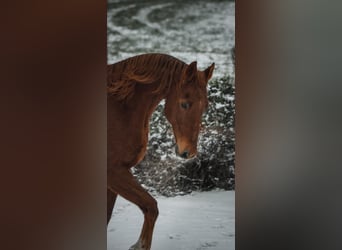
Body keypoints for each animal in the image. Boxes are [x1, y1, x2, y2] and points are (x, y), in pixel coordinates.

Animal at [107, 53, 214, 250]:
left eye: (206, 107)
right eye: (184, 104)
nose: (189, 152)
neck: (119, 109)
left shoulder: (114, 179)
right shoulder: (113, 172)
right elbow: (151, 206)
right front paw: (139, 245)